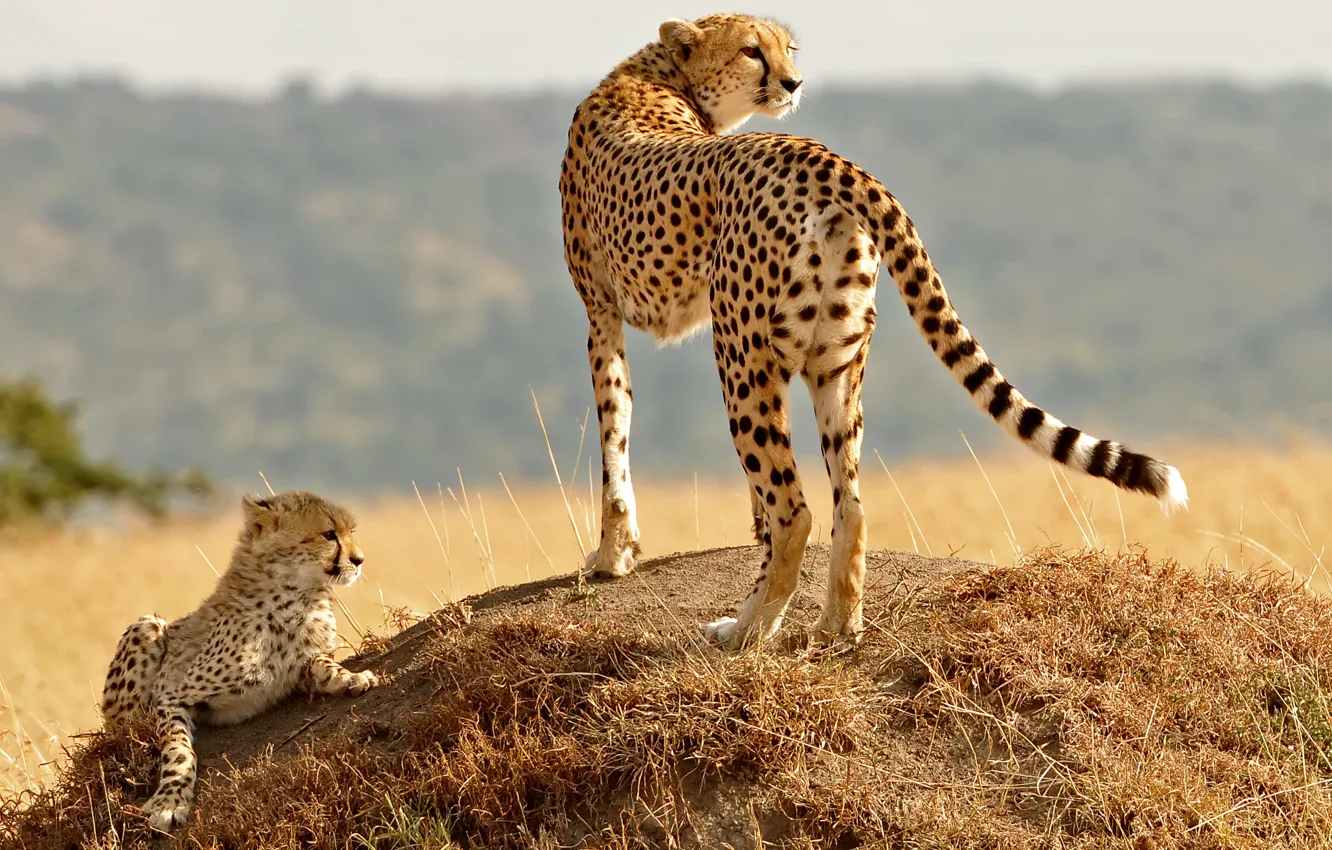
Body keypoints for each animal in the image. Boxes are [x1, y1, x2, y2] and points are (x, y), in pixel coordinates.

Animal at [99, 490, 379, 832]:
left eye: (351, 531)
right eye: (329, 534)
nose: (359, 560)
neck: (295, 597)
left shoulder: (301, 666)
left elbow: (321, 664)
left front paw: (351, 677)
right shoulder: (169, 693)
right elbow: (179, 750)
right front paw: (170, 801)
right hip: (147, 626)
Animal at [558, 13, 1188, 649]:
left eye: (787, 49)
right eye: (751, 51)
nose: (793, 82)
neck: (660, 75)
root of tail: (815, 153)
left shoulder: (599, 313)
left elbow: (614, 429)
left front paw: (611, 555)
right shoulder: (610, 312)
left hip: (741, 355)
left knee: (796, 509)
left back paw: (747, 629)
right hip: (835, 360)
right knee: (851, 503)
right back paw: (837, 624)